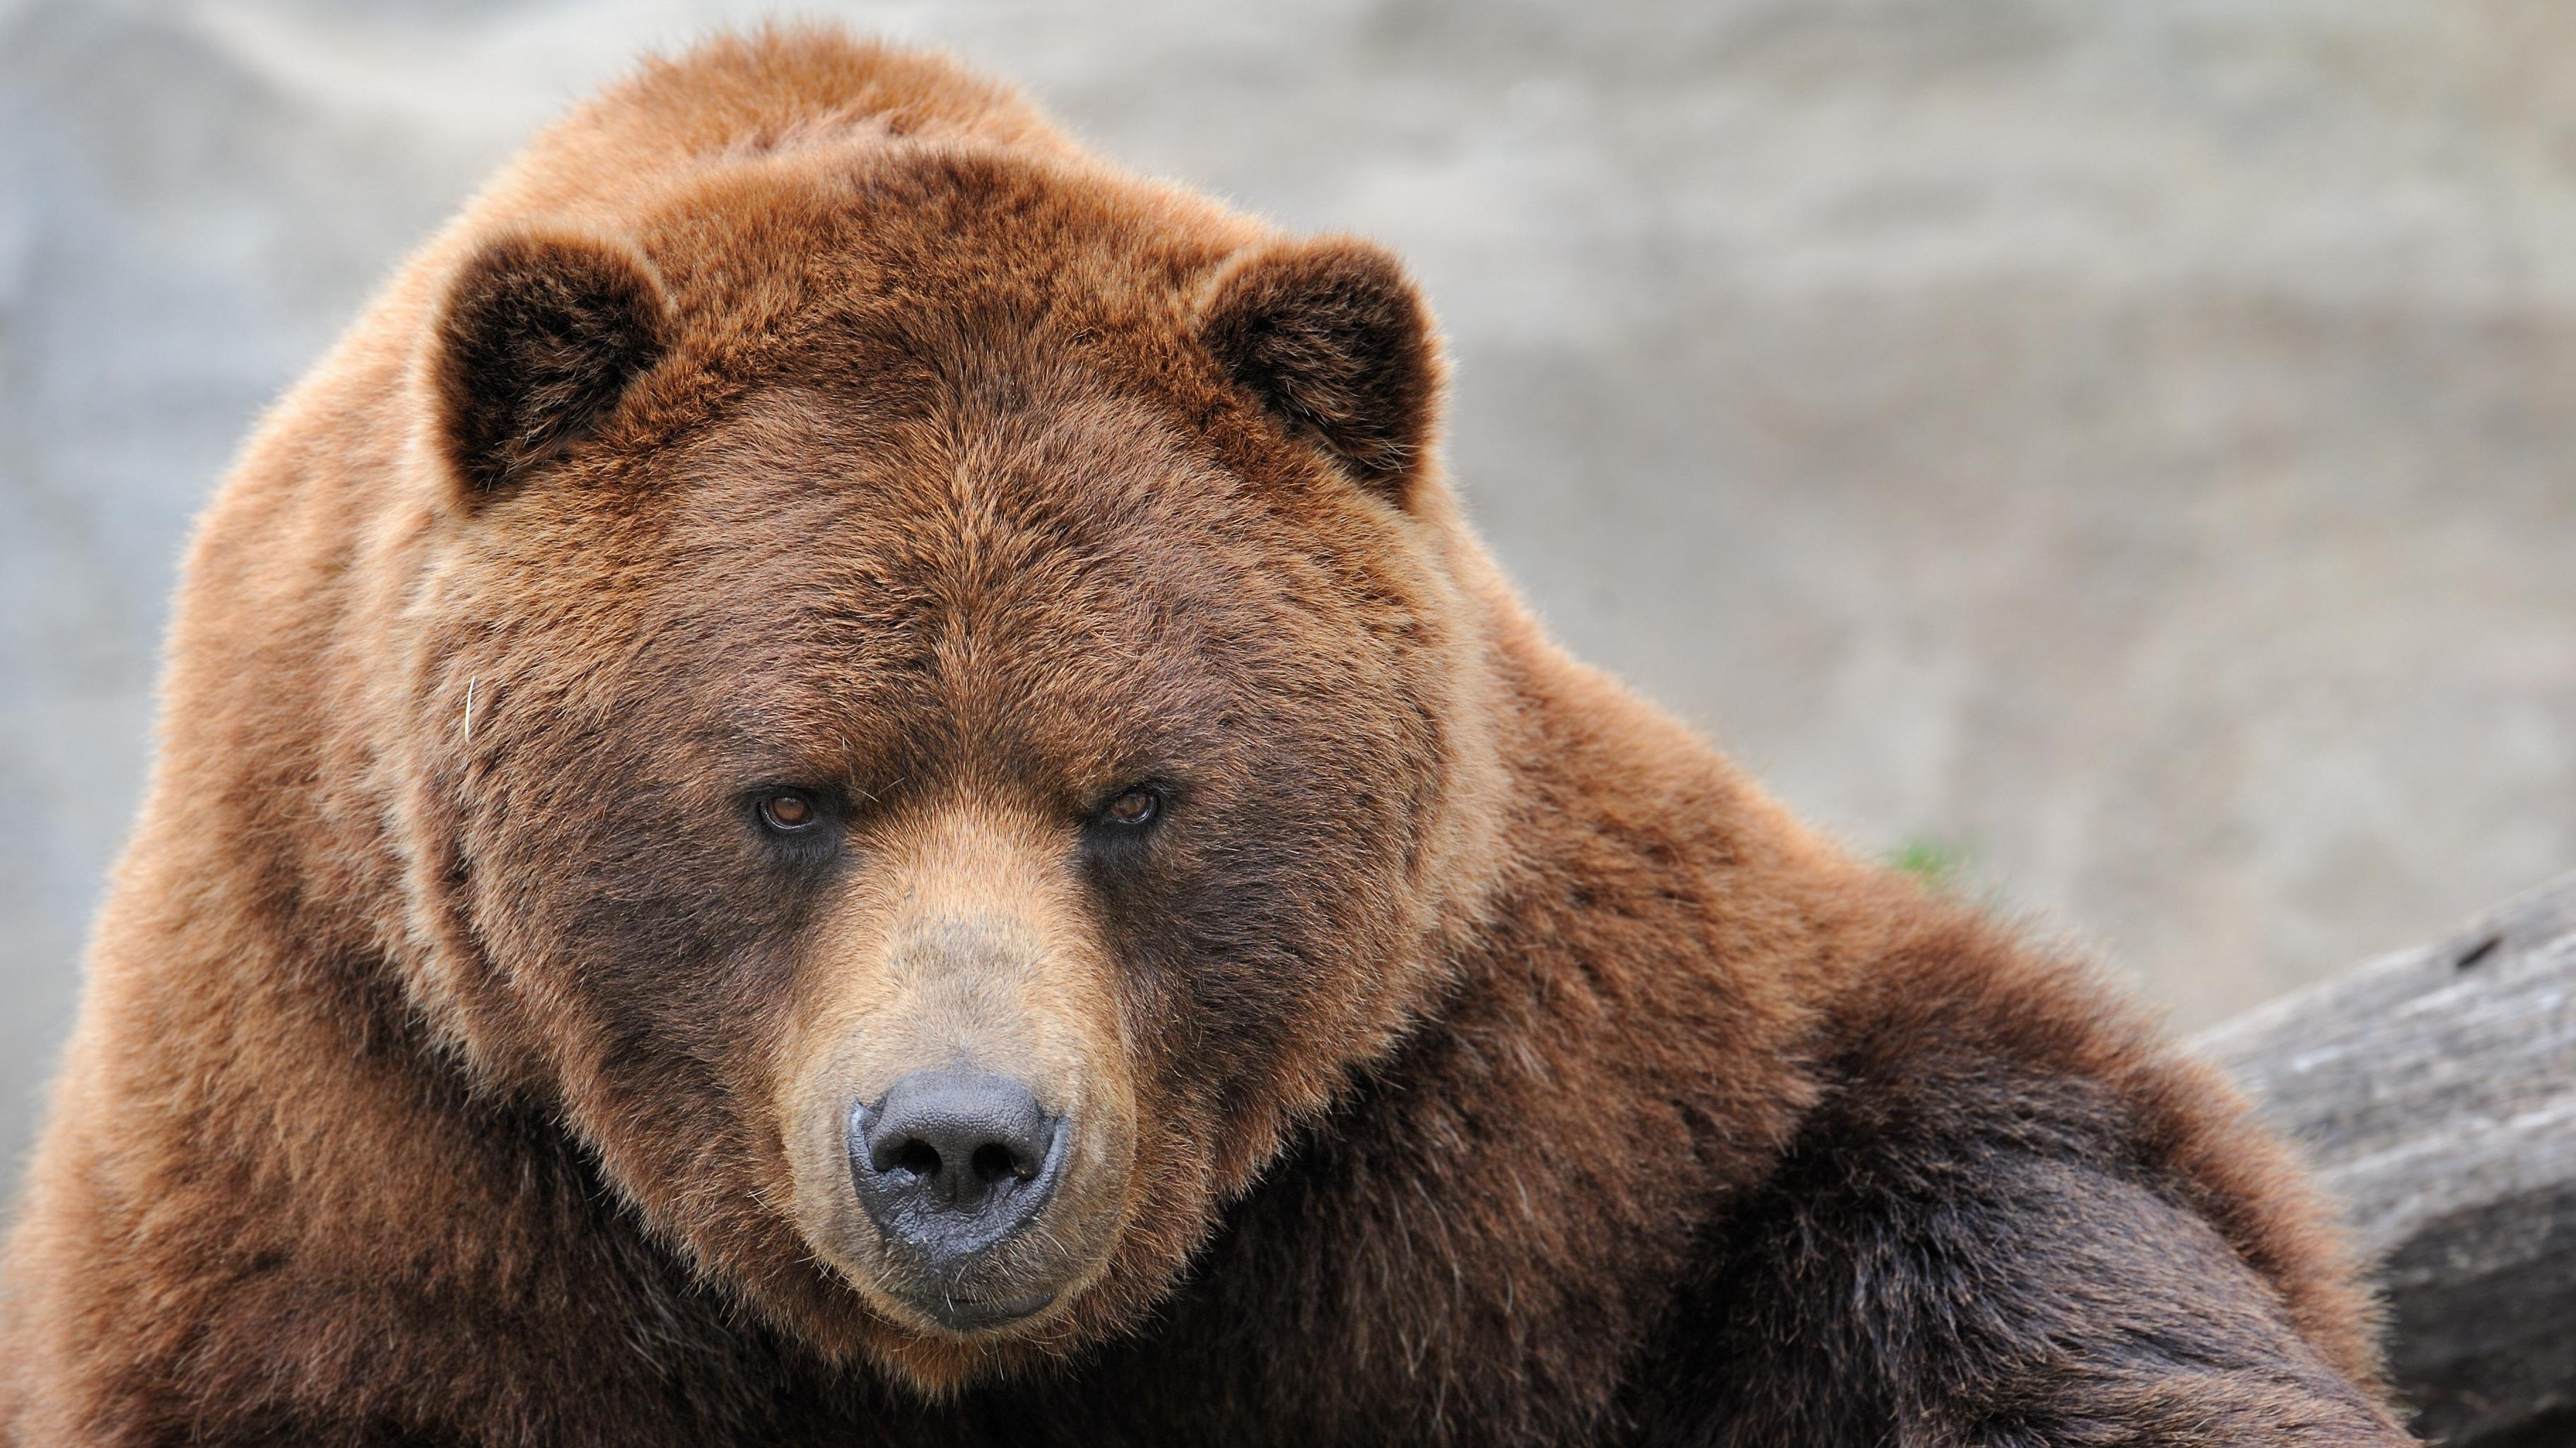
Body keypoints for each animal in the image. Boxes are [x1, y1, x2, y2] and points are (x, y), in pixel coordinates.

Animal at [0, 25, 2411, 1442]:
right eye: (789, 795)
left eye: (1136, 797)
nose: (959, 1145)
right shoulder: (368, 1158)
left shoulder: (1527, 1106)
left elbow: (1995, 1231)